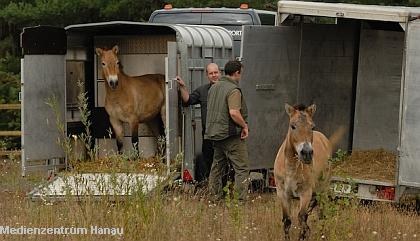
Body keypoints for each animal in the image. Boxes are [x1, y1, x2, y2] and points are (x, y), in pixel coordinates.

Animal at [272, 104, 344, 241]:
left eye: (312, 127)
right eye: (293, 126)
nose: (307, 153)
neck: (291, 168)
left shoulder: (305, 193)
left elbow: (301, 218)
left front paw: (303, 235)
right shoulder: (283, 194)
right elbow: (287, 221)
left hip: (323, 191)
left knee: (321, 215)